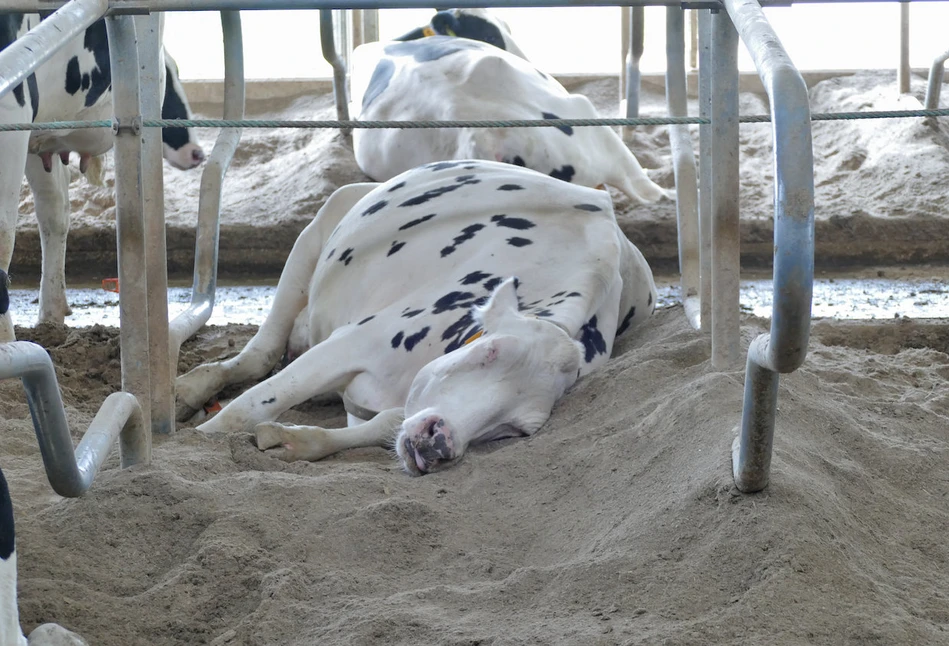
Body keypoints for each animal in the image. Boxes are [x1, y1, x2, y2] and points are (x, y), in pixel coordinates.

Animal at [174, 161, 656, 476]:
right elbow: (248, 408)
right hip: (318, 229)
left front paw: (295, 441)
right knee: (261, 352)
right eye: (487, 351)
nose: (438, 441)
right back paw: (188, 392)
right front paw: (195, 442)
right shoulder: (354, 342)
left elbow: (383, 425)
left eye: (515, 430)